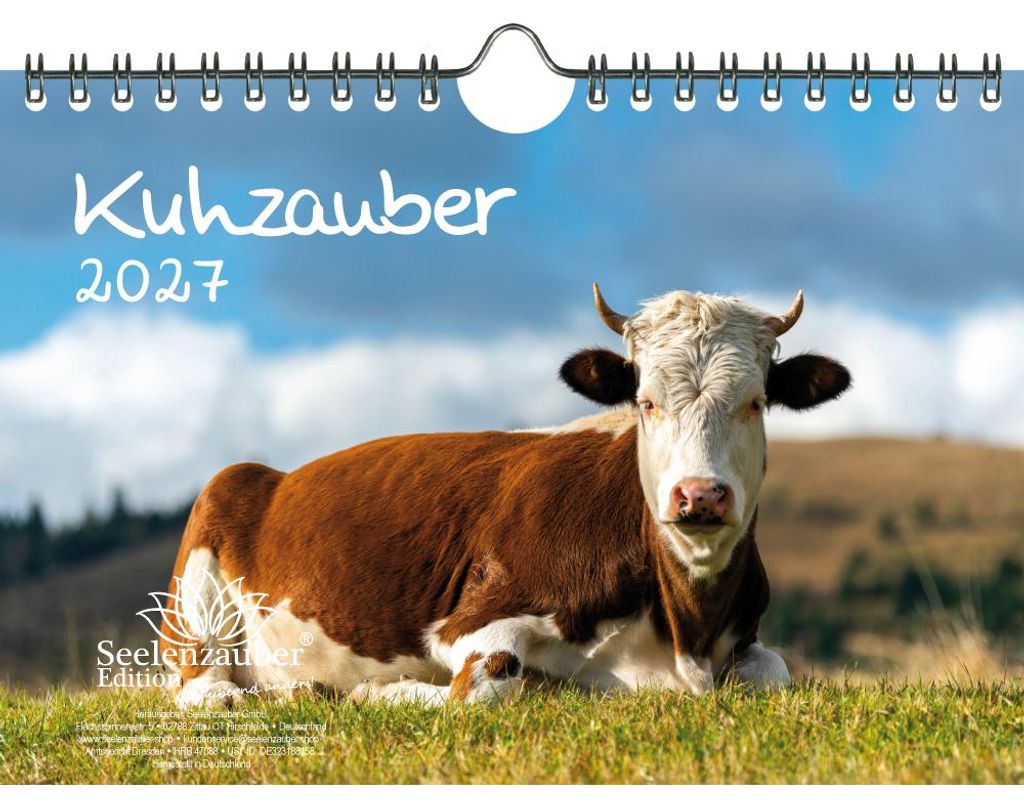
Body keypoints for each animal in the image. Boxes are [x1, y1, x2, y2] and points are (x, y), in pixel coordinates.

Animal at [158, 285, 850, 709]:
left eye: (756, 401)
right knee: (207, 687)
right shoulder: (473, 618)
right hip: (202, 577)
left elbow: (776, 674)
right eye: (645, 401)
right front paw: (384, 691)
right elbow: (481, 689)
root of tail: (271, 475)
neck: (686, 634)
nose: (699, 495)